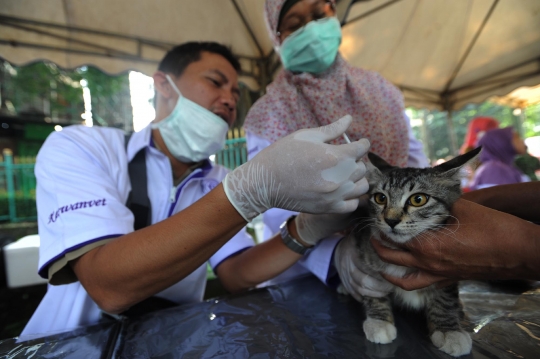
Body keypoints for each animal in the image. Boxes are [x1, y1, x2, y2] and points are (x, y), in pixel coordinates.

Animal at [342, 148, 480, 358]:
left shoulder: (448, 270)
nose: (391, 220)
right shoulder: (365, 256)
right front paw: (379, 321)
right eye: (380, 198)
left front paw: (449, 330)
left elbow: (445, 298)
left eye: (418, 199)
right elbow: (372, 291)